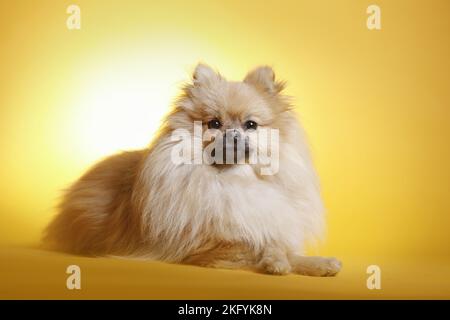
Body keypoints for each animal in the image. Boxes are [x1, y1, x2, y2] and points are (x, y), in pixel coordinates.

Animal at [44, 63, 342, 276]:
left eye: (251, 125)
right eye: (214, 123)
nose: (233, 135)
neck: (233, 180)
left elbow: (280, 242)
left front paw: (319, 263)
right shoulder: (204, 246)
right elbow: (257, 245)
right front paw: (278, 262)